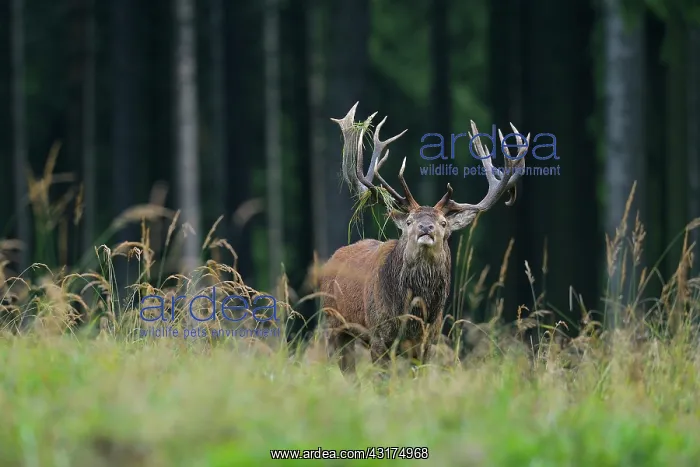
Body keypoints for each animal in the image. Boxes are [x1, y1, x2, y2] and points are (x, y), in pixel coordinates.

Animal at [319, 102, 529, 380]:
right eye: (409, 221)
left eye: (443, 223)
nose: (425, 227)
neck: (414, 313)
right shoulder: (378, 333)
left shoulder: (429, 339)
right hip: (333, 324)